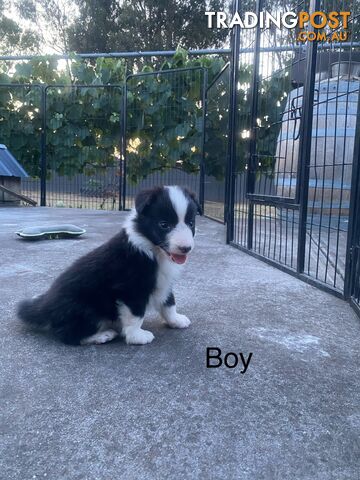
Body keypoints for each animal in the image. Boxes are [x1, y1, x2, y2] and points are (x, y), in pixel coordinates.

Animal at [16, 186, 201, 346]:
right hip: (86, 309)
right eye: (164, 225)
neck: (153, 250)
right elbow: (136, 314)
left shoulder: (164, 281)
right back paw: (102, 336)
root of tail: (45, 305)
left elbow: (169, 303)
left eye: (191, 223)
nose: (186, 248)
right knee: (68, 335)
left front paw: (176, 320)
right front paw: (136, 336)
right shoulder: (131, 288)